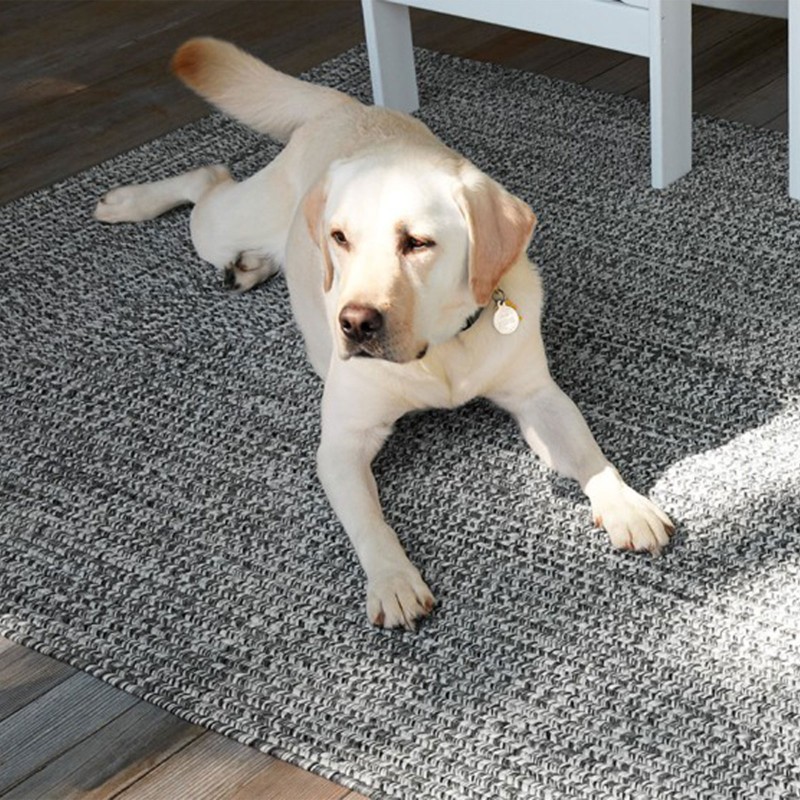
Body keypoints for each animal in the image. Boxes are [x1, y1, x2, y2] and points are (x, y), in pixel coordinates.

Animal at [94, 39, 672, 632]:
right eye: (341, 238)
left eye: (417, 243)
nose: (354, 323)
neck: (438, 353)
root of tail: (346, 107)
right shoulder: (342, 444)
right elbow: (370, 522)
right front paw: (393, 581)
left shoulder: (538, 397)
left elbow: (588, 453)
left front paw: (625, 503)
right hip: (228, 223)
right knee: (209, 178)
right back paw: (130, 202)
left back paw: (251, 265)